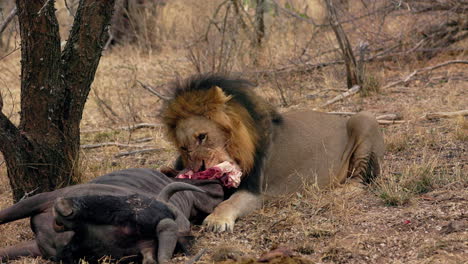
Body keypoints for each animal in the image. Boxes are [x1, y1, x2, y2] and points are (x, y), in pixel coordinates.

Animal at [161, 73, 384, 231]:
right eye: (184, 148)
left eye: (202, 136)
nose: (200, 170)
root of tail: (340, 117)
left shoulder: (255, 191)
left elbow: (230, 203)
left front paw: (217, 220)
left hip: (365, 118)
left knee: (359, 181)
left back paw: (338, 191)